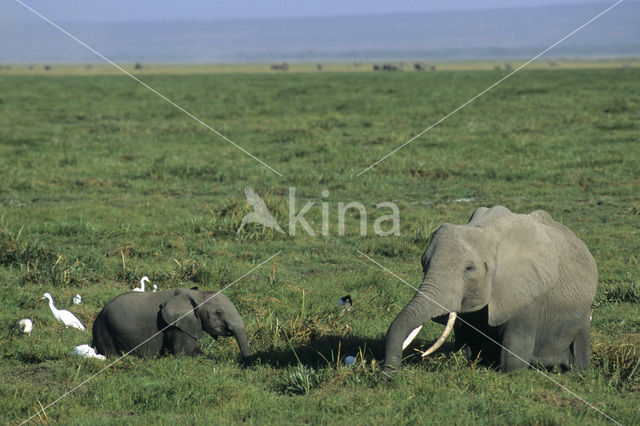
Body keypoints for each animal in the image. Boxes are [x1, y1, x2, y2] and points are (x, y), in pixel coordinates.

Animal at [382, 206, 596, 372]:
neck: (486, 233)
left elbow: (514, 358)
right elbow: (465, 343)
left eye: (469, 269)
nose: (388, 375)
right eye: (423, 264)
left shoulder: (527, 293)